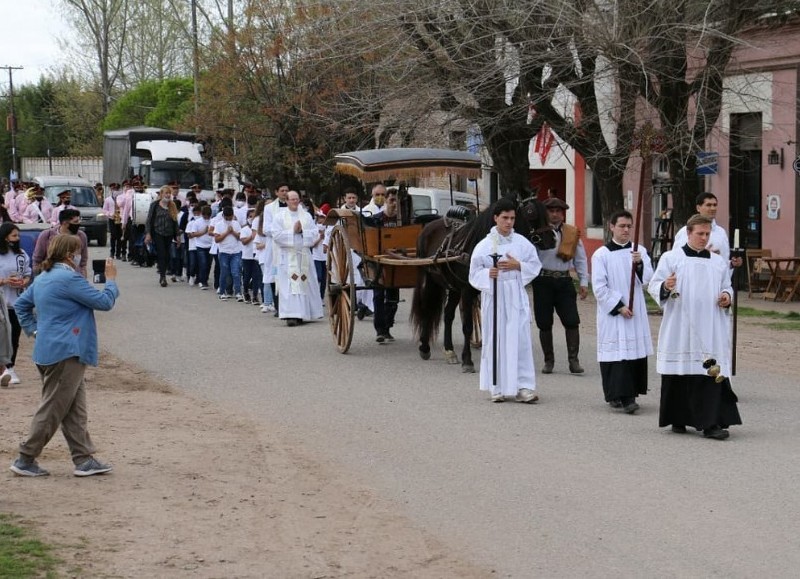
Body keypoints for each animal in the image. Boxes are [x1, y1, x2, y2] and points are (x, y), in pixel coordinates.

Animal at [410, 197, 552, 374]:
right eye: (531, 212)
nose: (552, 240)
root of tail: (429, 226)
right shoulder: (467, 290)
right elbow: (468, 326)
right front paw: (467, 360)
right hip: (430, 279)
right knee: (427, 308)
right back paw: (424, 347)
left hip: (454, 286)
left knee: (448, 314)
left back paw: (449, 350)